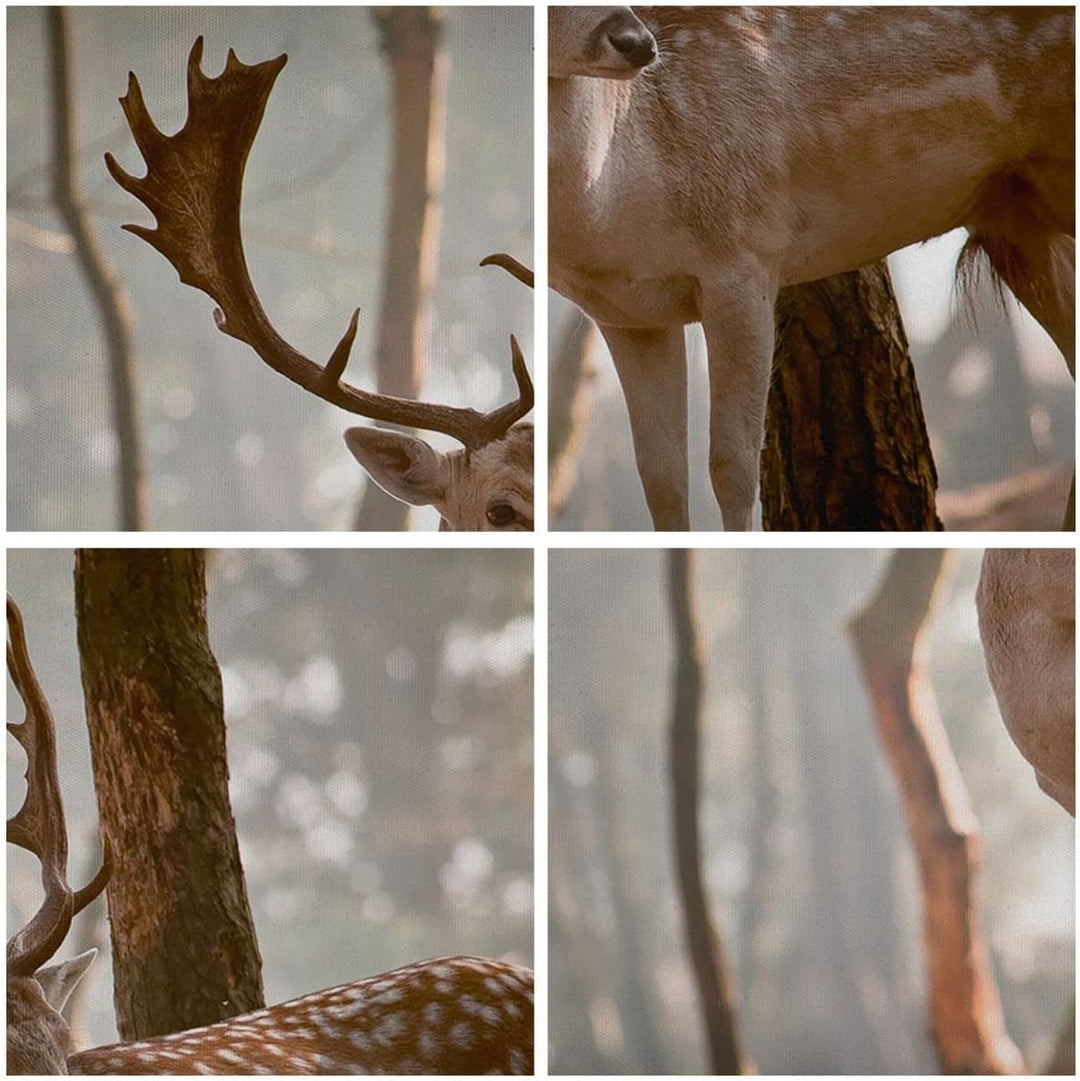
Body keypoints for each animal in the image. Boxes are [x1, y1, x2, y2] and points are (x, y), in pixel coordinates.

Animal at [549, 6, 1075, 530]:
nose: (638, 43)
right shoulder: (630, 315)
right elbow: (662, 480)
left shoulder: (744, 255)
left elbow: (733, 464)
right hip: (1016, 219)